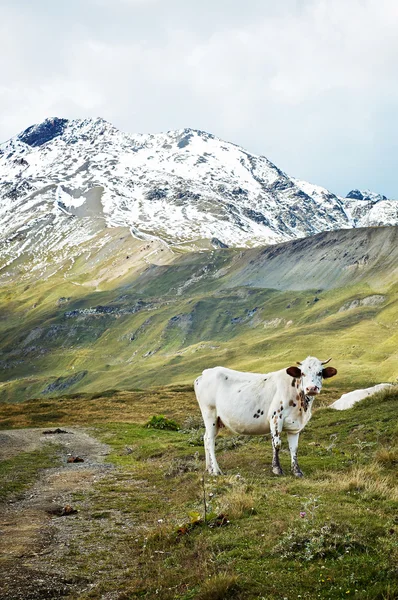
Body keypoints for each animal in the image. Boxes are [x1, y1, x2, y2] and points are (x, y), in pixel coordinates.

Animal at [194, 356, 338, 478]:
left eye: (320, 373)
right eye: (303, 373)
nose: (311, 388)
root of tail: (205, 373)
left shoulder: (295, 426)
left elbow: (294, 448)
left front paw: (297, 471)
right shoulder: (275, 418)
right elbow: (277, 444)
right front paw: (277, 469)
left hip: (217, 420)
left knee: (205, 437)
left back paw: (209, 468)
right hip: (210, 414)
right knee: (210, 440)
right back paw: (216, 470)